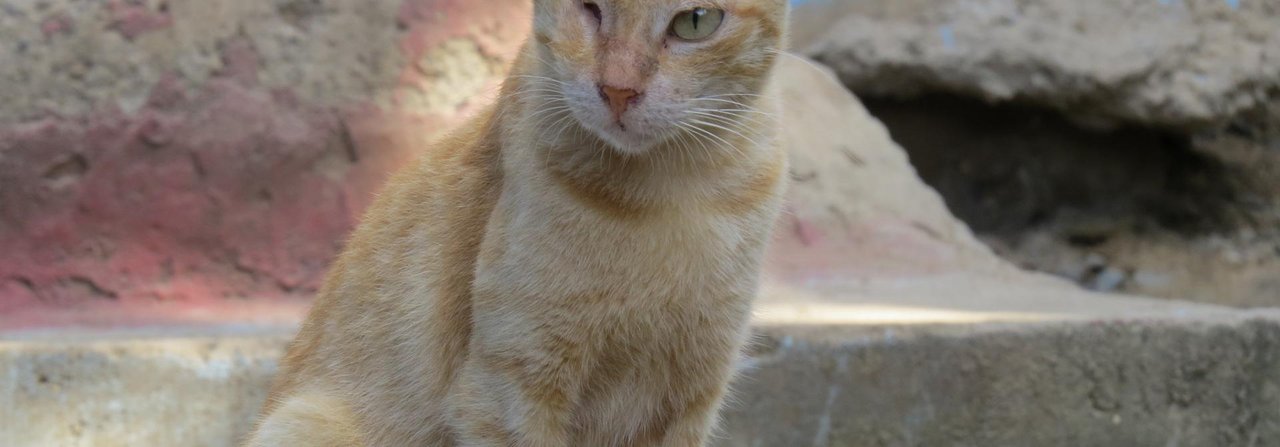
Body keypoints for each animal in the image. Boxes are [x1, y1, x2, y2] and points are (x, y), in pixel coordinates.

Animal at [247, 1, 788, 443]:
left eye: (696, 20)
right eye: (590, 7)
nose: (618, 90)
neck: (671, 192)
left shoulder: (693, 391)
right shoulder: (511, 386)